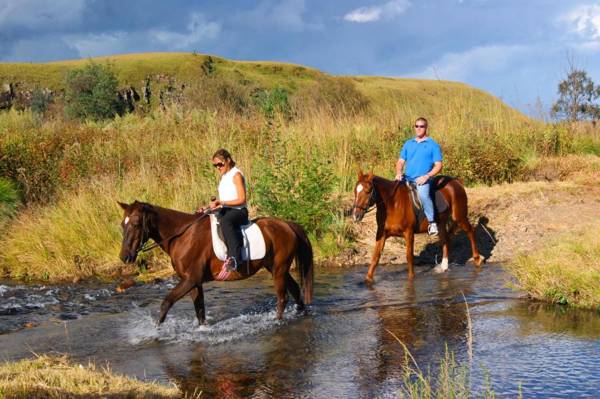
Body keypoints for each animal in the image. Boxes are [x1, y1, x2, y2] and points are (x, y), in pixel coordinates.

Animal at [117, 202, 314, 326]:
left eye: (136, 223)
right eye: (122, 224)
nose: (125, 257)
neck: (182, 235)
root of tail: (287, 225)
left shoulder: (190, 279)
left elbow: (166, 302)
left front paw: (156, 329)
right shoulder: (193, 282)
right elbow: (200, 311)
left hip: (279, 269)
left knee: (283, 297)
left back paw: (276, 322)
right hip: (275, 267)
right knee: (295, 289)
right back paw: (302, 313)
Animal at [352, 172, 482, 284]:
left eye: (368, 191)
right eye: (355, 190)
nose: (356, 216)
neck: (392, 204)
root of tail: (456, 182)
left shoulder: (408, 233)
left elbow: (409, 257)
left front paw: (411, 278)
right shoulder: (382, 234)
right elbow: (375, 257)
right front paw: (368, 279)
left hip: (459, 217)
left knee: (470, 231)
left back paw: (477, 259)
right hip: (441, 223)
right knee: (446, 239)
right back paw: (444, 267)